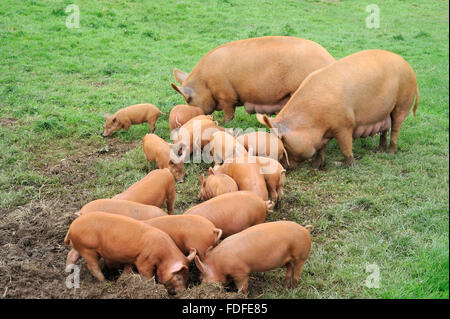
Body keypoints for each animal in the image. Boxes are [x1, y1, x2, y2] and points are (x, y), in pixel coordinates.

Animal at [64, 211, 196, 296]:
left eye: (187, 277)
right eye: (178, 277)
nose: (183, 291)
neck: (164, 255)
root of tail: (72, 227)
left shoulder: (132, 259)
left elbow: (128, 270)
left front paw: (122, 280)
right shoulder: (144, 260)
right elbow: (147, 274)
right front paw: (149, 285)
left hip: (79, 247)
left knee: (71, 256)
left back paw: (68, 272)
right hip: (88, 249)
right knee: (91, 266)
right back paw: (105, 281)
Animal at [171, 36, 336, 122]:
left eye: (188, 99)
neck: (204, 82)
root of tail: (330, 60)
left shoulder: (226, 95)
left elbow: (229, 113)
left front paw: (225, 123)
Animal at [258, 48, 420, 169]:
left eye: (284, 144)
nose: (283, 166)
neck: (313, 119)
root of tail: (408, 67)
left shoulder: (345, 125)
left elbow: (345, 147)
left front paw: (346, 164)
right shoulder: (322, 134)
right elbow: (321, 149)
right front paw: (316, 166)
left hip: (403, 102)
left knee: (396, 128)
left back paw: (390, 153)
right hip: (385, 111)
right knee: (385, 129)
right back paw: (379, 150)